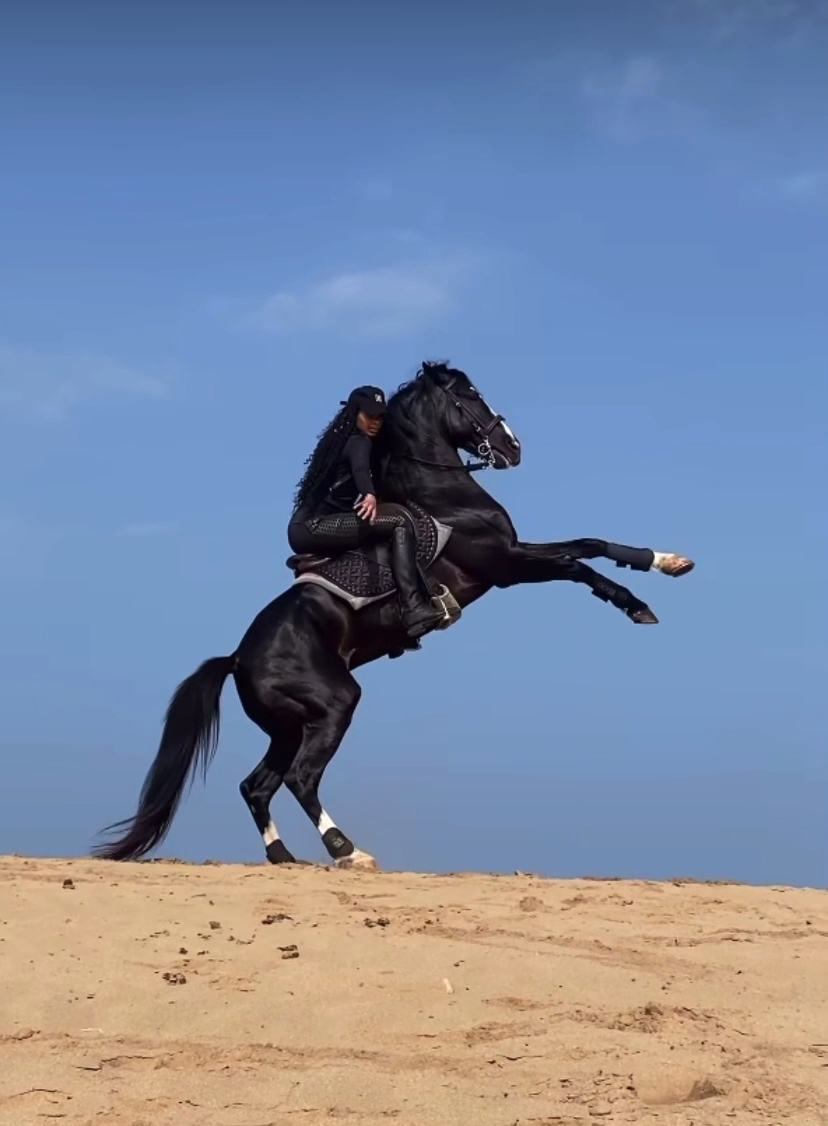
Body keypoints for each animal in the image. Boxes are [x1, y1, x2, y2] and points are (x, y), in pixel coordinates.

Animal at [92, 361, 693, 869]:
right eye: (470, 394)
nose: (513, 447)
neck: (441, 490)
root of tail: (239, 657)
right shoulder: (504, 564)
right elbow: (577, 560)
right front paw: (636, 602)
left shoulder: (513, 556)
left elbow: (589, 544)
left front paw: (664, 565)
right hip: (334, 703)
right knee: (301, 779)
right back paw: (349, 852)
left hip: (288, 725)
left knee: (257, 785)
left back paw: (285, 858)